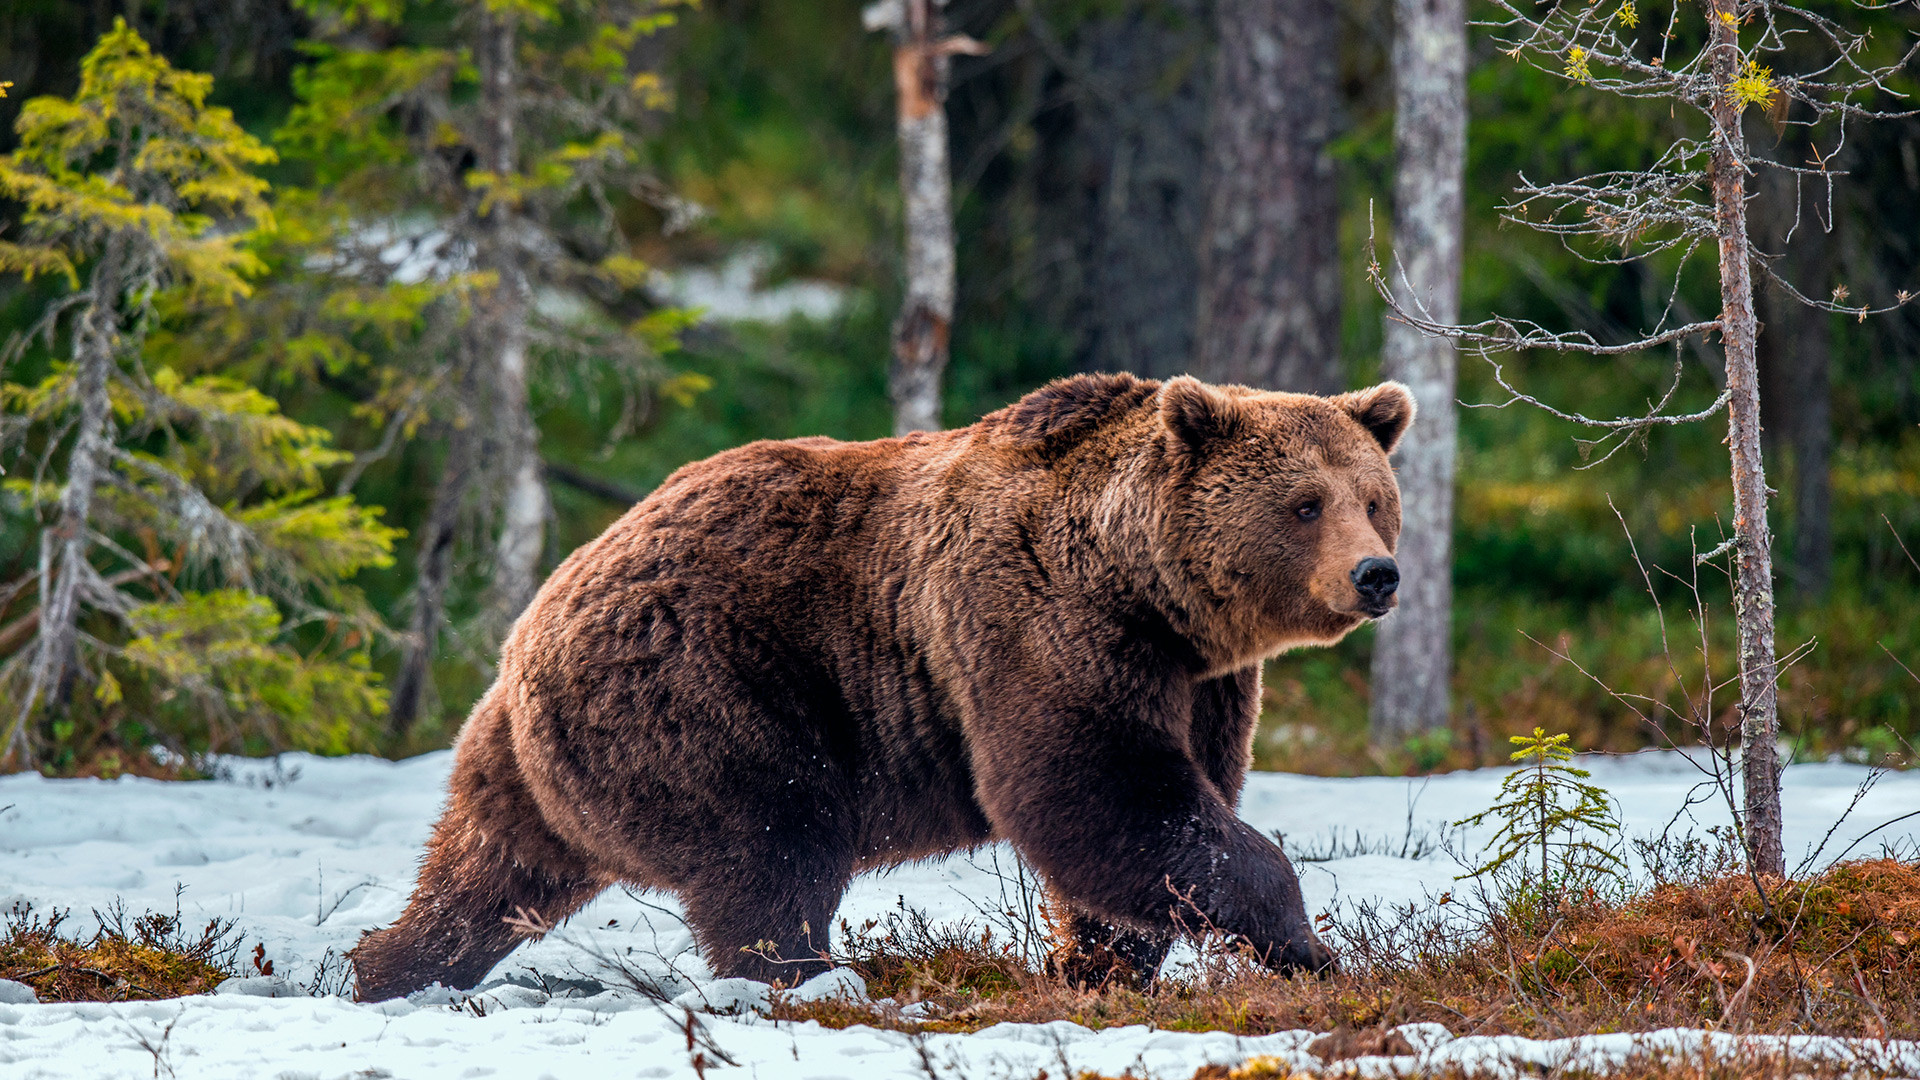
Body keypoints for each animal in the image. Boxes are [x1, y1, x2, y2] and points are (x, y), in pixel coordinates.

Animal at [351, 372, 1414, 1001]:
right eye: (1304, 503)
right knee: (773, 844)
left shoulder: (1202, 681)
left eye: (1374, 499)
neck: (1147, 588)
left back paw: (383, 968)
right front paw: (1306, 943)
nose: (1377, 574)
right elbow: (1097, 792)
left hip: (530, 756)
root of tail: (539, 612)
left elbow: (1164, 810)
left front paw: (1101, 963)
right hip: (710, 689)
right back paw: (811, 978)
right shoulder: (1038, 626)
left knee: (486, 872)